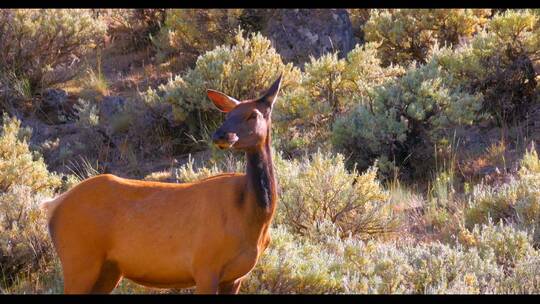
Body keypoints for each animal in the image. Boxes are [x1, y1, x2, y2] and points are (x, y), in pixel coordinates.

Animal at [42, 74, 282, 294]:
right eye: (229, 114)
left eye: (253, 114)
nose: (221, 135)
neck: (253, 221)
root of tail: (53, 205)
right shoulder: (204, 265)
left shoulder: (236, 276)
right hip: (79, 259)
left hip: (108, 270)